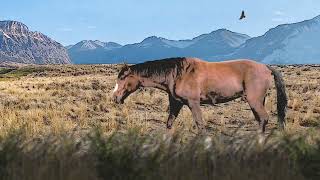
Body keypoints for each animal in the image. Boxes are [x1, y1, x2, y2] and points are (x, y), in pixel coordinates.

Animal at [112, 57, 288, 133]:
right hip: (258, 102)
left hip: (254, 101)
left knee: (263, 119)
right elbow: (169, 124)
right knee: (261, 120)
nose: (114, 97)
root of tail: (265, 67)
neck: (177, 73)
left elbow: (200, 125)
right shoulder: (176, 103)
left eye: (123, 78)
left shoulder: (193, 103)